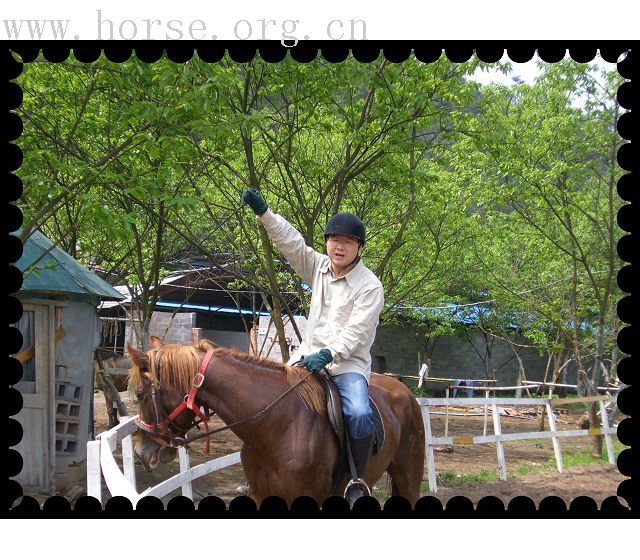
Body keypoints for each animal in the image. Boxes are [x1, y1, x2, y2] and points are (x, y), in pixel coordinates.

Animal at [126, 336, 424, 508]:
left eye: (140, 394)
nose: (141, 451)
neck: (279, 426)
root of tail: (404, 391)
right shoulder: (259, 494)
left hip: (409, 480)